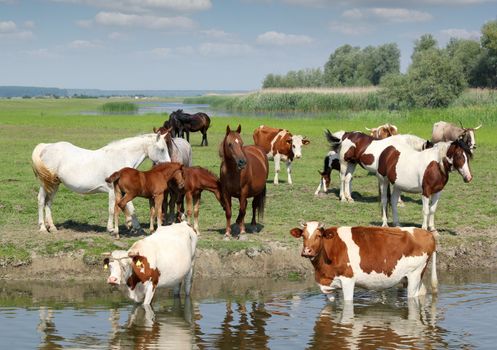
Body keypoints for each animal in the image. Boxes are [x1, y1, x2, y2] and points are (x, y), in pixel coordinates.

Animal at [31, 133, 170, 234]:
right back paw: (43, 227)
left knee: (48, 202)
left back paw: (52, 227)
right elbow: (112, 209)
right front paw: (111, 229)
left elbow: (130, 208)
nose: (169, 165)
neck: (120, 158)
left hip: (54, 184)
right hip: (46, 184)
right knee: (41, 200)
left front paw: (135, 226)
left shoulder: (126, 191)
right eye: (162, 149)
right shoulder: (112, 191)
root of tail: (46, 147)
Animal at [288, 221, 436, 300]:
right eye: (303, 235)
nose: (307, 251)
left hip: (414, 274)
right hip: (412, 277)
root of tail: (426, 233)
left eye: (319, 235)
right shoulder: (328, 285)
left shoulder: (348, 280)